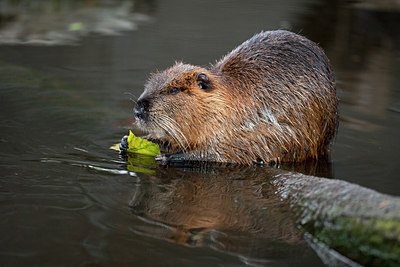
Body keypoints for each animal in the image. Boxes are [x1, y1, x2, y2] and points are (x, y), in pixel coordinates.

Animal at [121, 29, 338, 165]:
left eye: (174, 90)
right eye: (150, 83)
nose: (139, 108)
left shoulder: (253, 130)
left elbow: (227, 153)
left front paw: (169, 158)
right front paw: (127, 141)